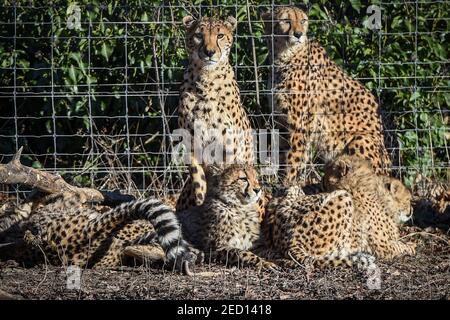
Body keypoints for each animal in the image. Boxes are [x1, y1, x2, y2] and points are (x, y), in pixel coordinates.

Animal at [176, 15, 255, 211]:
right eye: (198, 35)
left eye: (220, 35)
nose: (209, 52)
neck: (206, 78)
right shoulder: (193, 146)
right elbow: (199, 184)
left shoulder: (228, 148)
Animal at [262, 6, 392, 184]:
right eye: (286, 21)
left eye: (303, 21)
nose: (298, 34)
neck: (284, 55)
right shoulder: (281, 121)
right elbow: (284, 155)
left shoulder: (299, 124)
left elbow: (293, 158)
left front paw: (288, 183)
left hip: (362, 139)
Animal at [264, 154, 414, 268]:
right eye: (408, 200)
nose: (411, 210)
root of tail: (291, 240)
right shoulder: (383, 246)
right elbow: (399, 246)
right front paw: (410, 246)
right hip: (343, 199)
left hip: (286, 204)